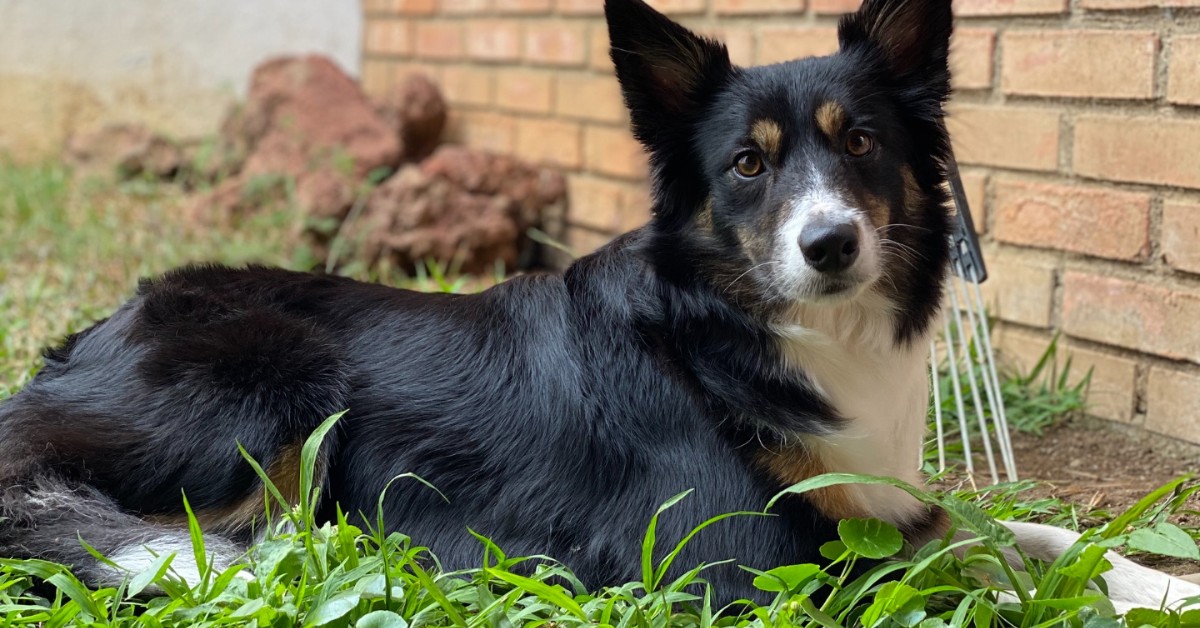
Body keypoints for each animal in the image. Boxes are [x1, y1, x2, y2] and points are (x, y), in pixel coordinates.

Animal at [2, 0, 1200, 614]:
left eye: (861, 141)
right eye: (748, 163)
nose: (830, 246)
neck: (736, 325)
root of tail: (85, 341)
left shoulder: (878, 495)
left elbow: (1018, 531)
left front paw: (1154, 581)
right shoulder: (736, 562)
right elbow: (972, 571)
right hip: (276, 377)